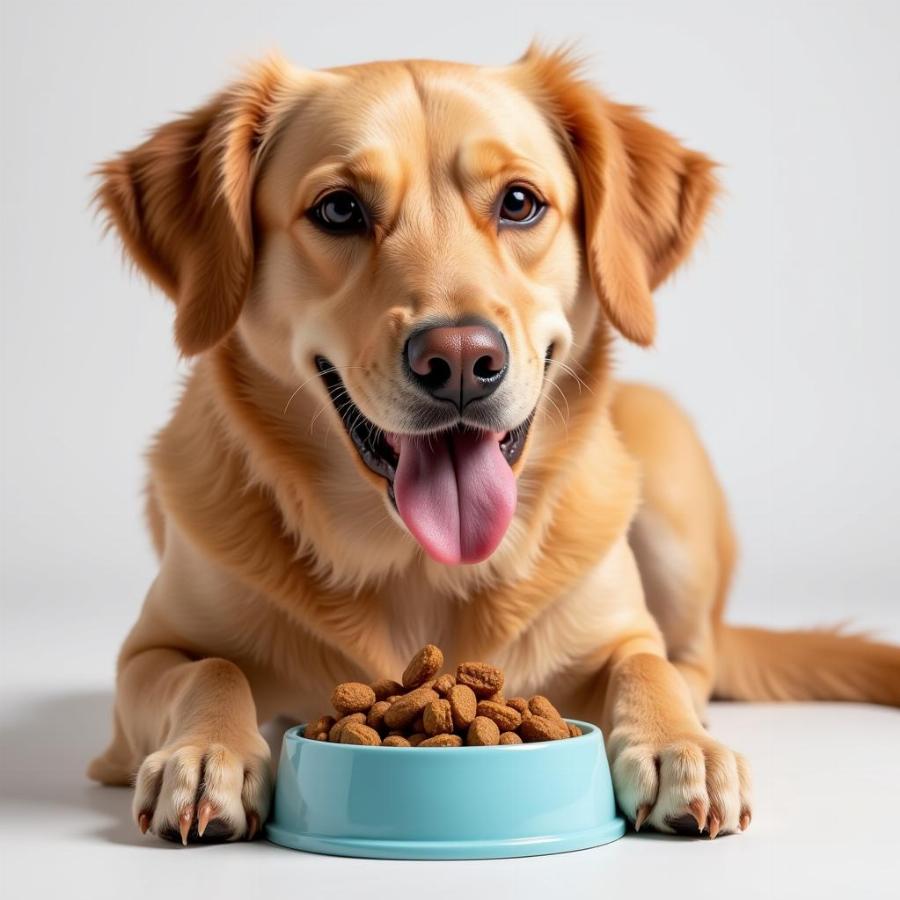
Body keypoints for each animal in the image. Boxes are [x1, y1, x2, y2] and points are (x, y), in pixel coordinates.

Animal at [86, 45, 900, 848]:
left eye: (519, 202)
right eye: (339, 208)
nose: (458, 360)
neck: (416, 565)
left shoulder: (621, 630)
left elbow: (648, 666)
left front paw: (679, 745)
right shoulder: (147, 653)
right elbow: (211, 669)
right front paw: (207, 753)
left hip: (669, 483)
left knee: (694, 656)